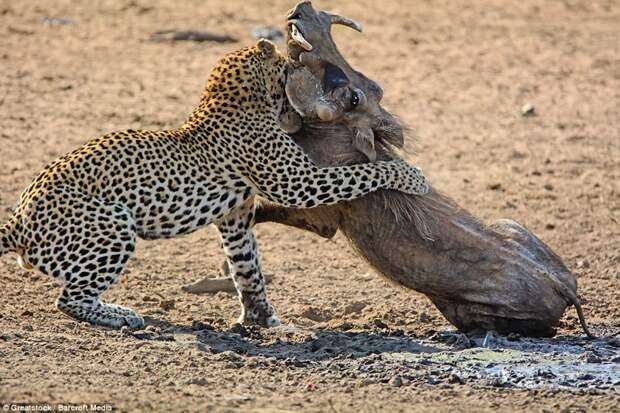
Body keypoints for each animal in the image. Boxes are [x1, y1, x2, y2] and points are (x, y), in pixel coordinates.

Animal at [0, 38, 426, 328]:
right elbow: (359, 173)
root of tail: (18, 220)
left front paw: (264, 319)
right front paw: (413, 176)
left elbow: (247, 267)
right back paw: (122, 315)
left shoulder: (235, 217)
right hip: (112, 225)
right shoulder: (294, 180)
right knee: (69, 299)